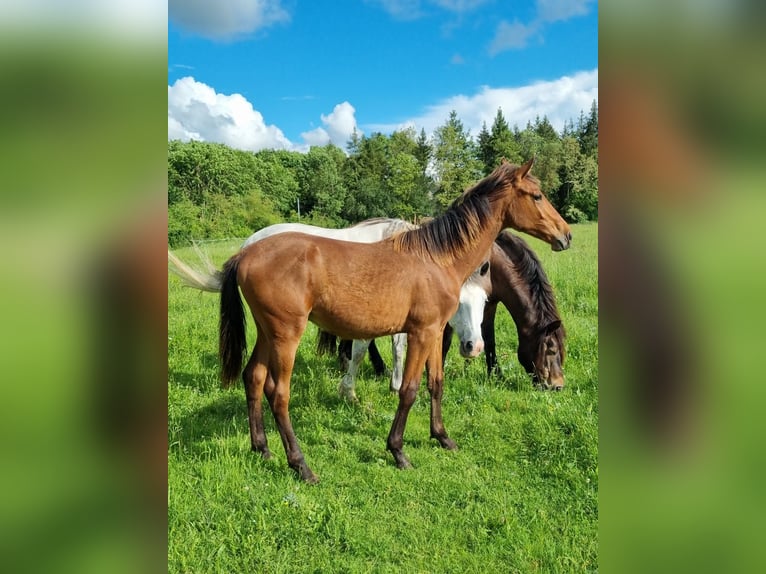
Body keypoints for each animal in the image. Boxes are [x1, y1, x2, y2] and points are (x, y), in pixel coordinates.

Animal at [448, 232, 568, 390]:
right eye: (552, 350)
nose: (558, 386)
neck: (495, 266)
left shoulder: (489, 305)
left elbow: (489, 341)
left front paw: (495, 376)